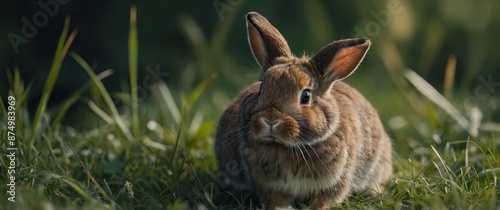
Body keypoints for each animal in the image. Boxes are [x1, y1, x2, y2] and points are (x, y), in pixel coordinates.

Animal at [215, 11, 394, 210]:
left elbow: (323, 200)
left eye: (306, 96)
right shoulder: (271, 187)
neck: (288, 147)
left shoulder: (334, 183)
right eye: (261, 88)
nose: (270, 119)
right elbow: (277, 200)